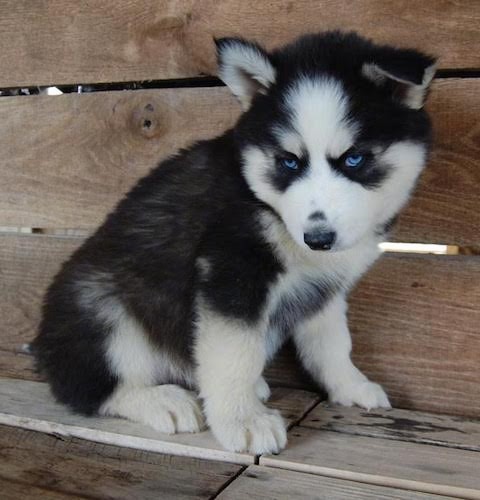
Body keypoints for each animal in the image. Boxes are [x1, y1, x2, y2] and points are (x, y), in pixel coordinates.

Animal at [33, 31, 436, 454]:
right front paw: (242, 421)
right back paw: (162, 400)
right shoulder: (231, 269)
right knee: (90, 388)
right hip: (100, 307)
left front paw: (350, 385)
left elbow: (332, 343)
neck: (266, 204)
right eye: (289, 162)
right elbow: (234, 353)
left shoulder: (324, 287)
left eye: (354, 159)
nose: (318, 238)